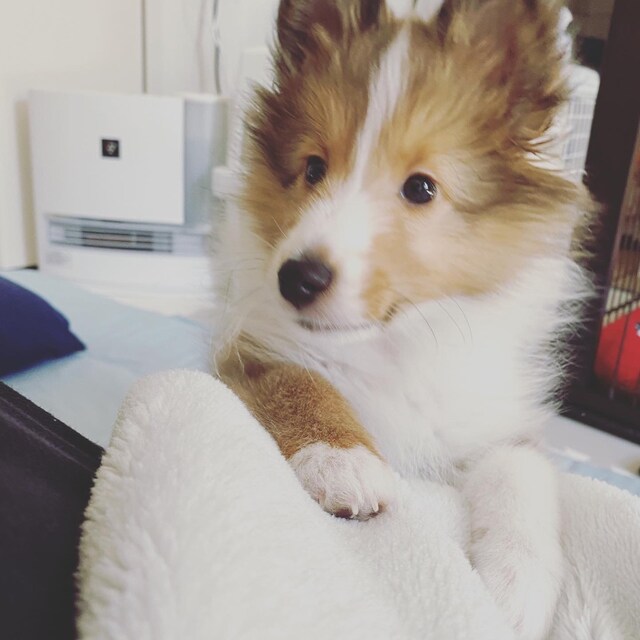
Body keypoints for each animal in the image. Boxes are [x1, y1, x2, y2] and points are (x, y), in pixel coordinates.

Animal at [215, 1, 592, 637]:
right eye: (312, 168)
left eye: (421, 187)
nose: (297, 279)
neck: (394, 340)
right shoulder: (249, 350)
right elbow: (298, 381)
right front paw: (342, 461)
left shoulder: (494, 423)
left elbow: (522, 476)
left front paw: (516, 587)